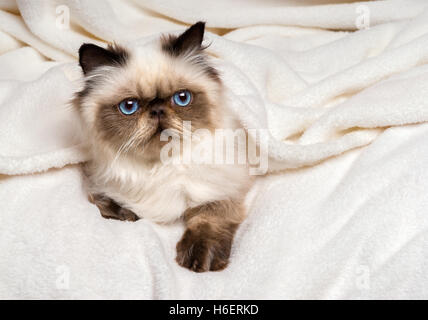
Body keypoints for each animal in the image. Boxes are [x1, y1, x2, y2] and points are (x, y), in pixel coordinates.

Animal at [75, 22, 252, 272]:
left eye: (182, 98)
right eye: (129, 106)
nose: (157, 110)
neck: (160, 167)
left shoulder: (221, 189)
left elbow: (208, 220)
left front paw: (201, 260)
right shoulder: (99, 183)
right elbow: (105, 201)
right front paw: (127, 215)